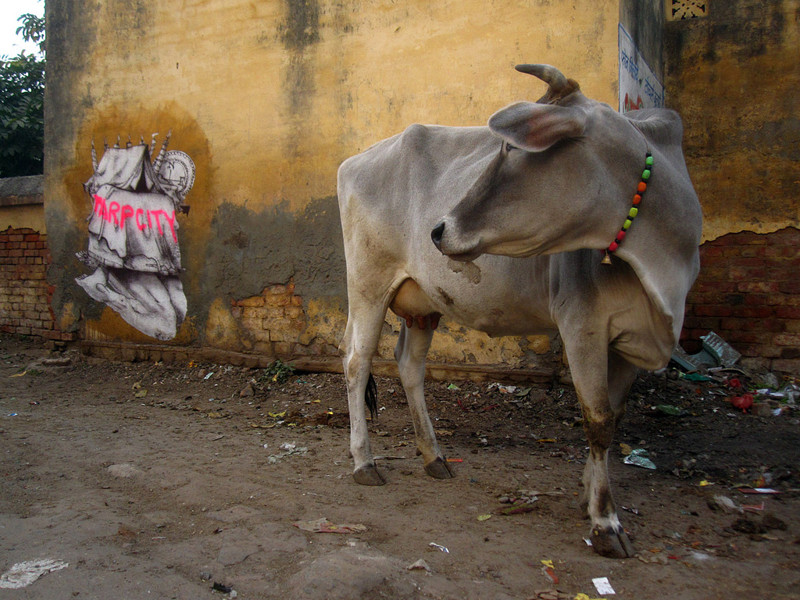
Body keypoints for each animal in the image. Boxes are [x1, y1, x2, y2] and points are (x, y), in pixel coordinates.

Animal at [336, 64, 700, 556]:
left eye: (511, 148)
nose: (439, 229)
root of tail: (356, 160)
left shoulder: (629, 341)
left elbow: (615, 416)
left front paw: (587, 494)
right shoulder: (582, 324)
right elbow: (598, 419)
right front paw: (605, 521)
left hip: (424, 300)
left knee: (409, 365)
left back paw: (433, 455)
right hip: (368, 285)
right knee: (356, 362)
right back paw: (364, 462)